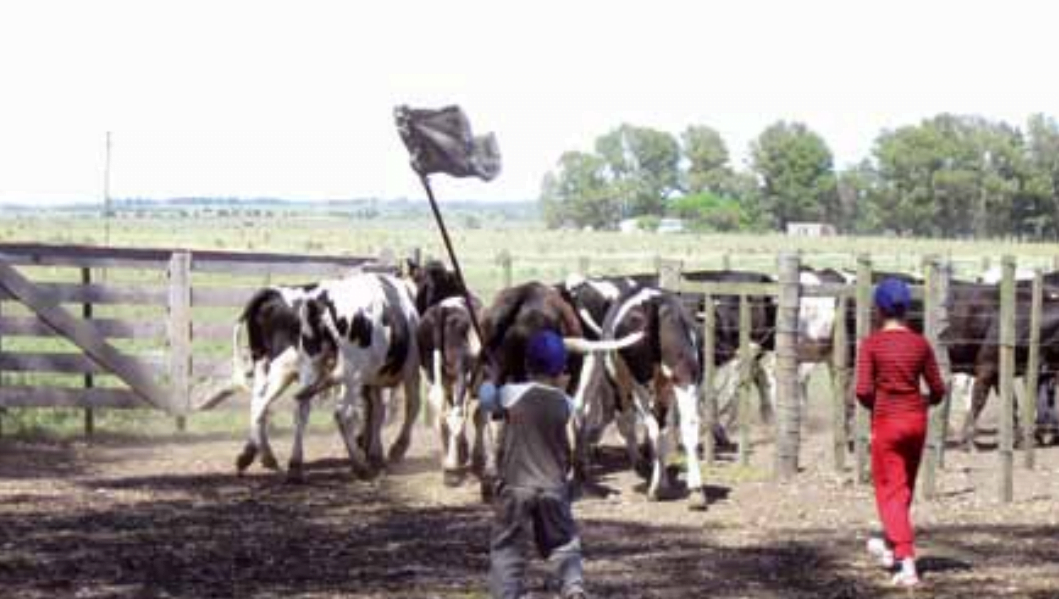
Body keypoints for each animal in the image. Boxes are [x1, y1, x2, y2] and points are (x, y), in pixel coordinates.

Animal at [292, 275, 423, 480]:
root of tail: (322, 300)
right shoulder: (411, 369)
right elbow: (413, 406)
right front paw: (397, 449)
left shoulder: (373, 379)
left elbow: (377, 411)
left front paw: (375, 452)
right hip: (351, 374)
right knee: (343, 414)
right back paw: (360, 466)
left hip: (311, 364)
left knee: (301, 407)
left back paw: (295, 465)